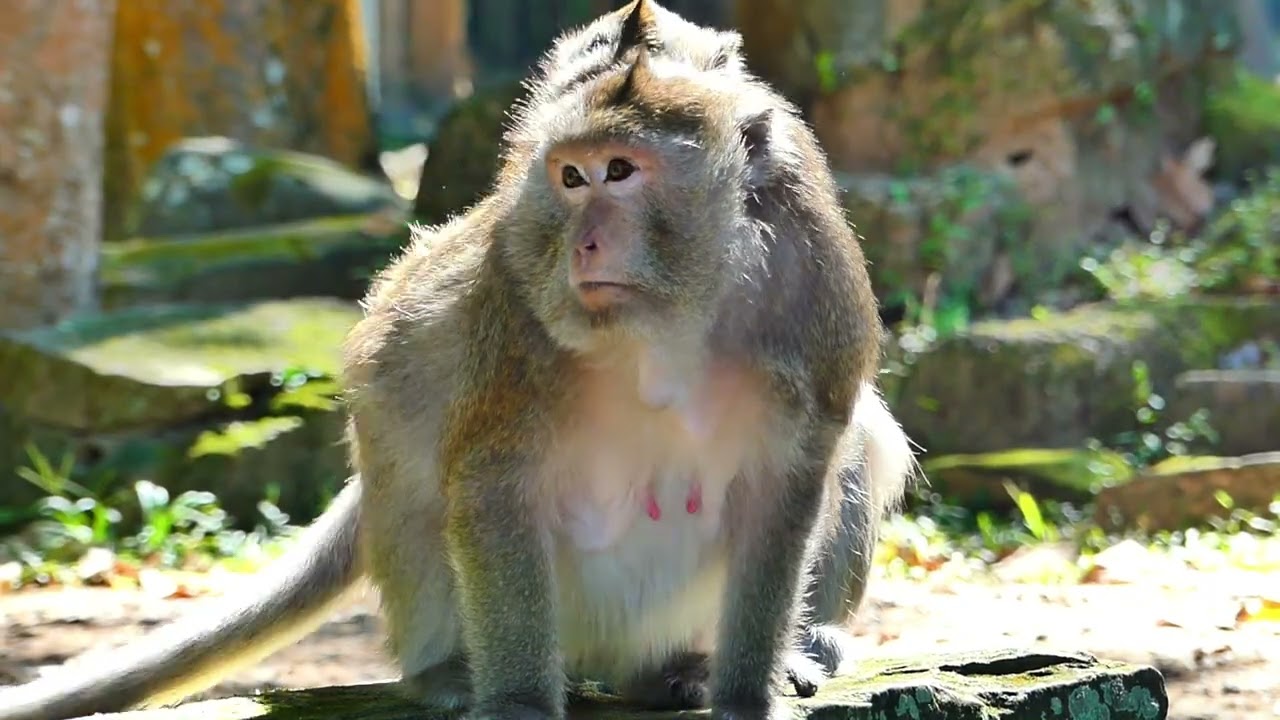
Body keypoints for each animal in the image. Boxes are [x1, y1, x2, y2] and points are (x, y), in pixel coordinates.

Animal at [0, 3, 916, 720]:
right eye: (573, 177)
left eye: (621, 171)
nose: (582, 242)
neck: (676, 314)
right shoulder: (516, 294)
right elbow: (490, 476)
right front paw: (515, 702)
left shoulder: (814, 292)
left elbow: (789, 484)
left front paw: (747, 691)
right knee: (418, 470)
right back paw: (452, 672)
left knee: (860, 439)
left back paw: (702, 667)